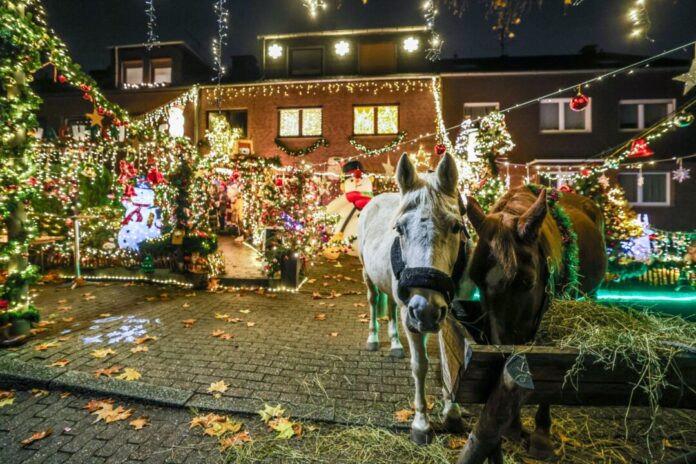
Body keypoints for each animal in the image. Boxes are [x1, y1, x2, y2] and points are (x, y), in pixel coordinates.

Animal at [358, 154, 468, 444]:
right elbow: (420, 366)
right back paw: (373, 339)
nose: (425, 309)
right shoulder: (413, 317)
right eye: (399, 228)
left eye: (456, 226)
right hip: (369, 277)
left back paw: (396, 344)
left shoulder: (445, 314)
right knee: (374, 302)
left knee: (391, 309)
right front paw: (421, 423)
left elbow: (448, 363)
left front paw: (452, 411)